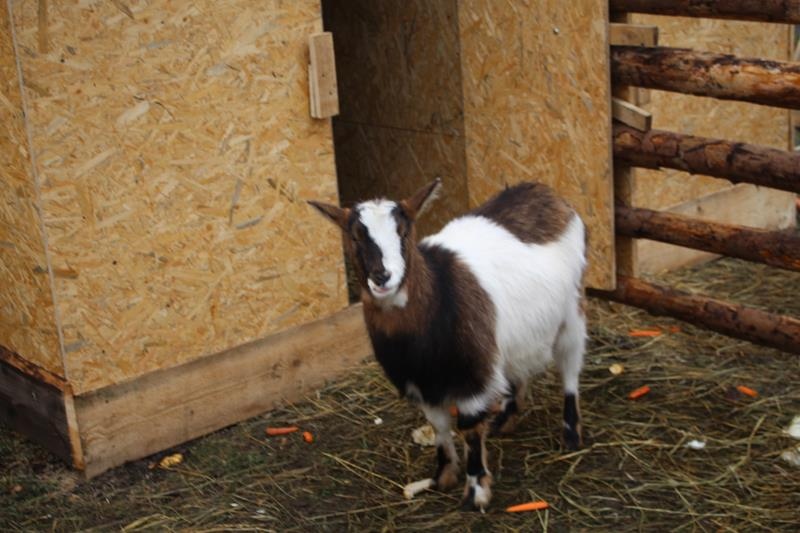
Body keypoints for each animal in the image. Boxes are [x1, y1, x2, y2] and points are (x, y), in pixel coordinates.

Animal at [308, 178, 586, 511]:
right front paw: (441, 477)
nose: (382, 276)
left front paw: (476, 491)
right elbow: (439, 427)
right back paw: (506, 417)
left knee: (570, 367)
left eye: (404, 232)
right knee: (517, 370)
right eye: (354, 236)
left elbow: (468, 428)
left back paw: (571, 433)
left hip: (571, 312)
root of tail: (541, 190)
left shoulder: (471, 377)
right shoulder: (421, 383)